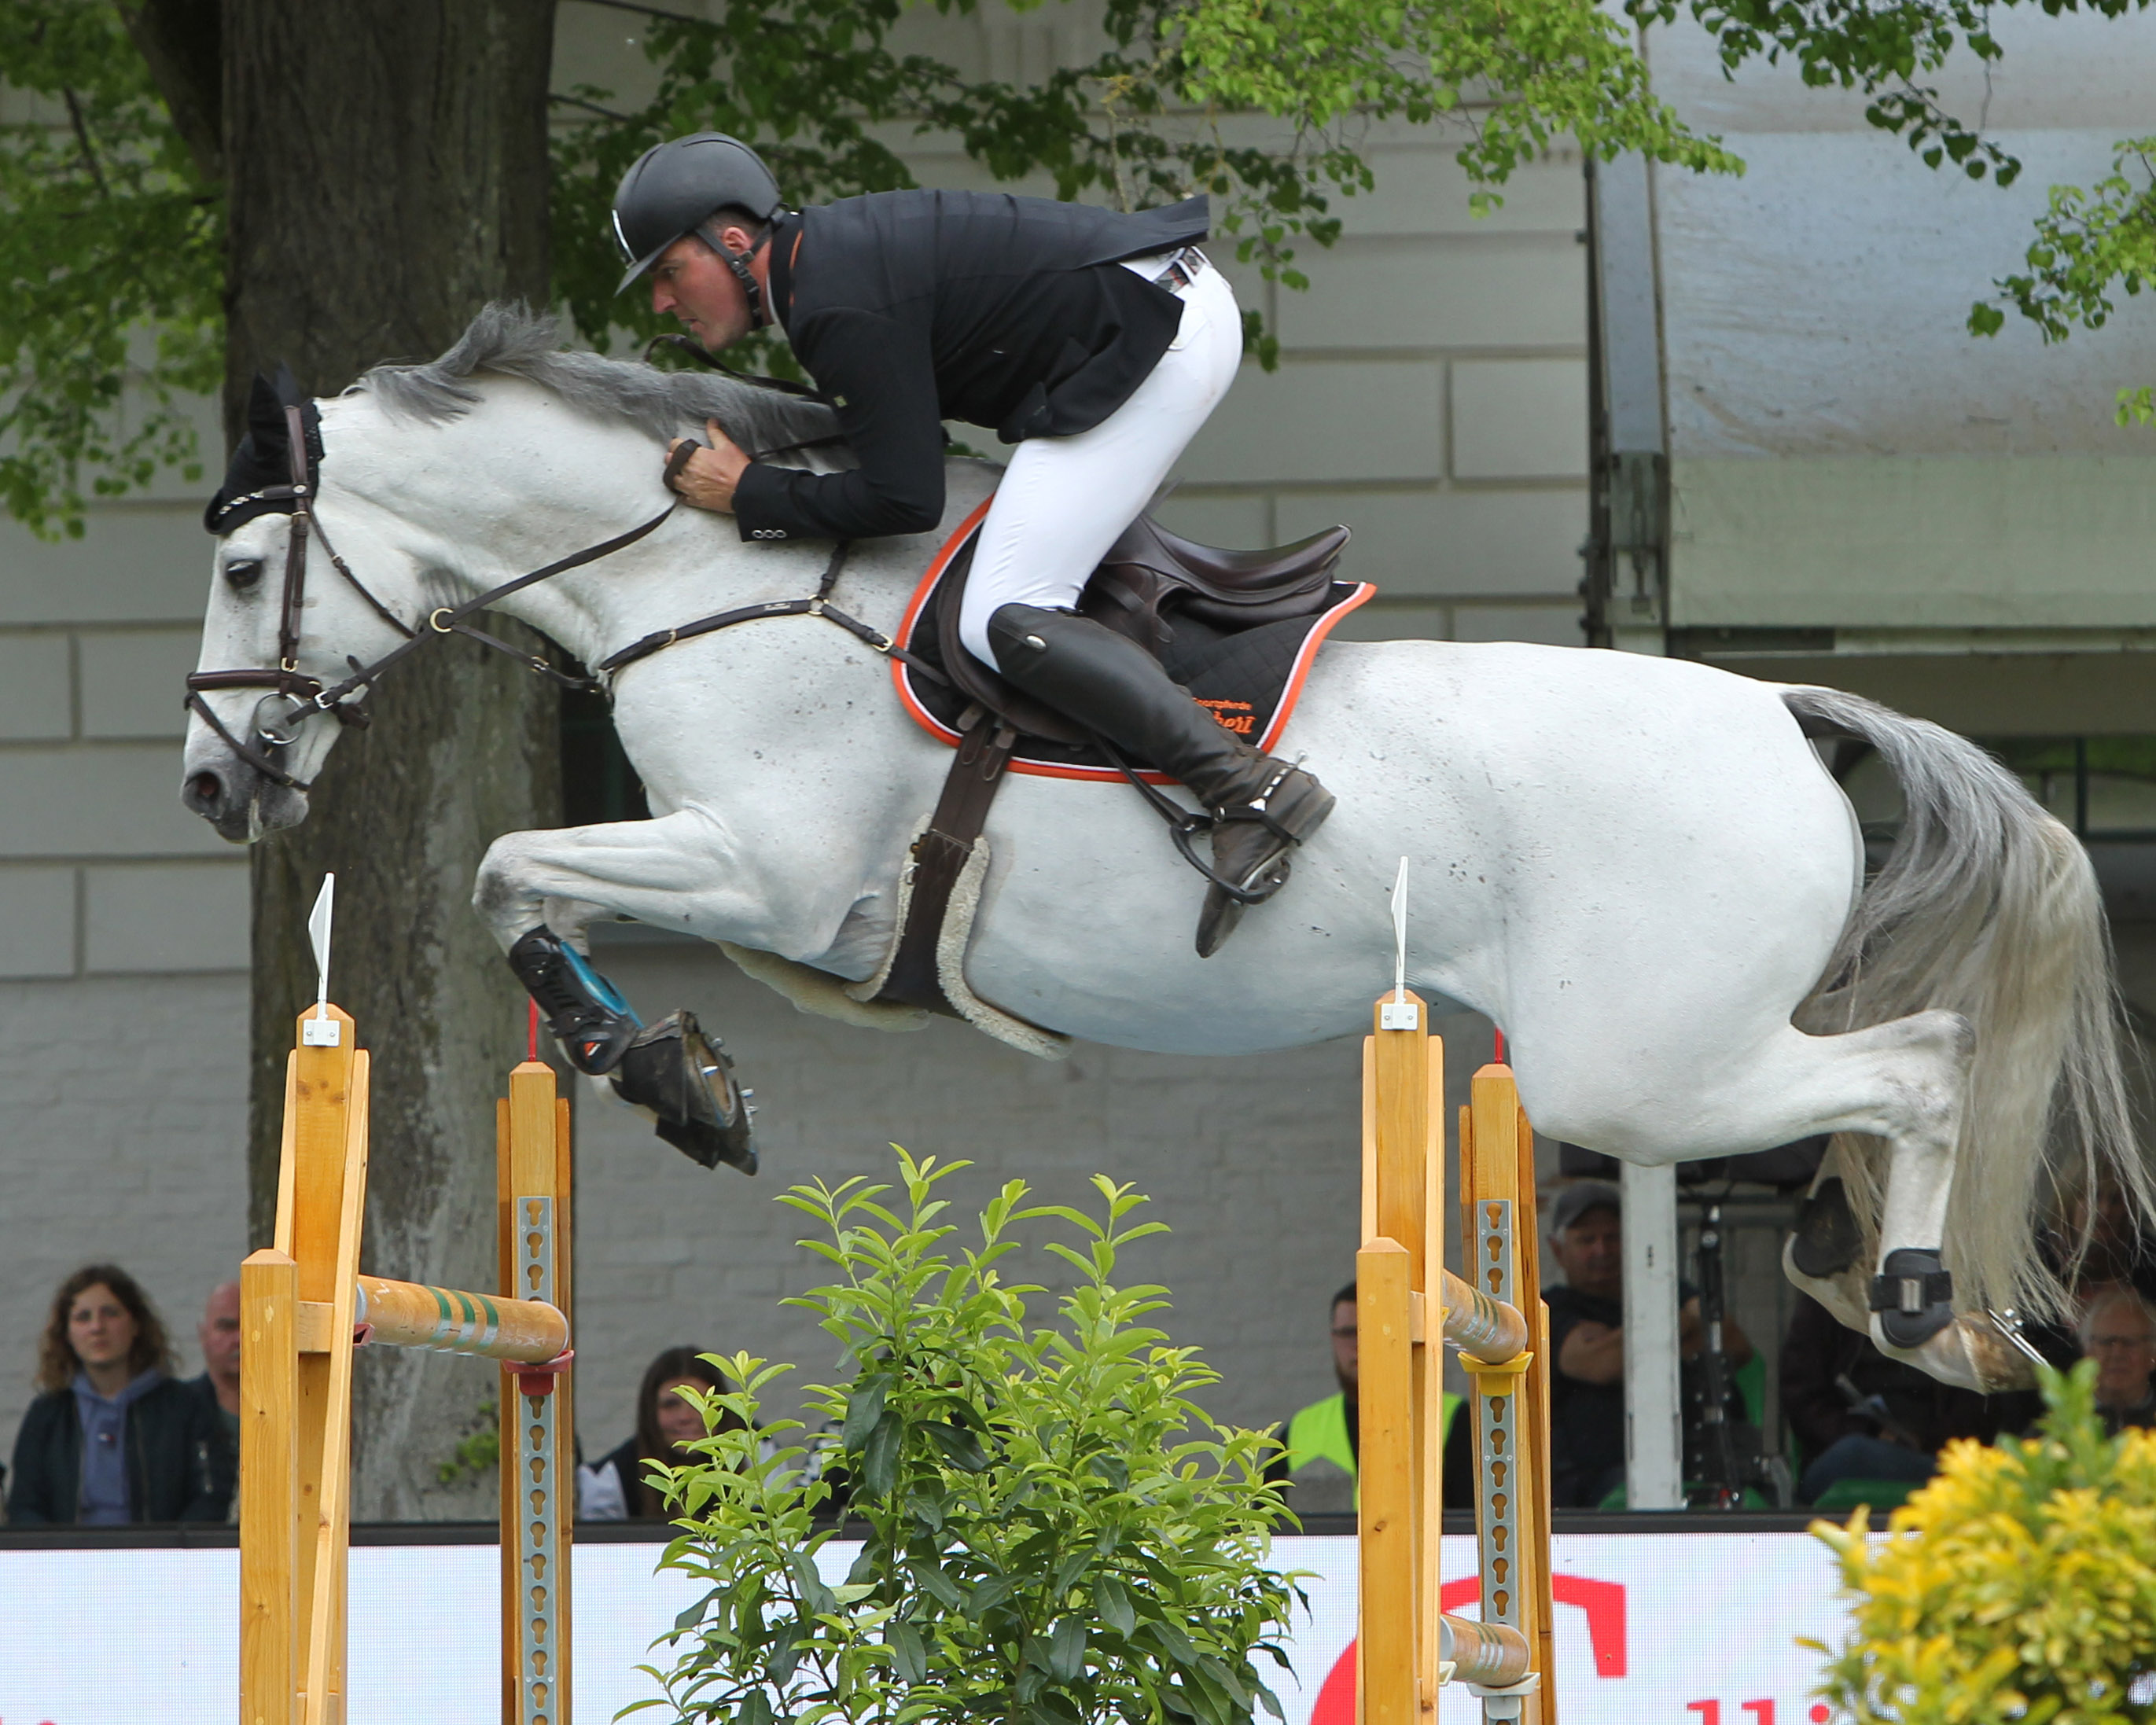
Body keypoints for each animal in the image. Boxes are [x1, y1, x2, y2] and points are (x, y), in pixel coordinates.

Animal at [185, 306, 2139, 1388]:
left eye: (239, 563)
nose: (214, 788)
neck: (714, 577)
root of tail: (1782, 713)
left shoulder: (766, 868)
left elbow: (509, 868)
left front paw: (670, 1074)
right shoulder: (762, 895)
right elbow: (529, 880)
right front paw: (673, 1062)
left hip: (1637, 1063)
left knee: (1923, 1063)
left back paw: (1908, 1297)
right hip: (1666, 1049)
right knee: (1893, 1072)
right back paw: (1896, 1293)